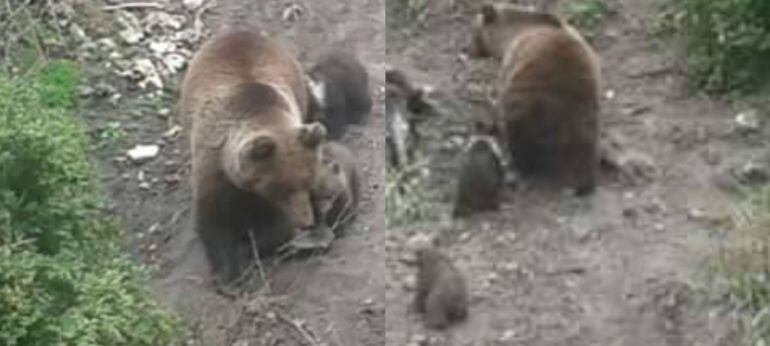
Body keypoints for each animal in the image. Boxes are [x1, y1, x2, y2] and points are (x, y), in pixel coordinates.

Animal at [181, 30, 328, 286]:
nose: (306, 221)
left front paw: (254, 245)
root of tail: (239, 31)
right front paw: (229, 273)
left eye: (309, 183)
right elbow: (212, 220)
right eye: (284, 188)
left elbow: (275, 228)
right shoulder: (213, 166)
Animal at [468, 3, 600, 195]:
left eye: (473, 31)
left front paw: (488, 122)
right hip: (585, 108)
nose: (468, 50)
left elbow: (498, 100)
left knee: (518, 136)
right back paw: (584, 183)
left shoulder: (510, 64)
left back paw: (518, 167)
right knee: (586, 146)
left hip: (530, 100)